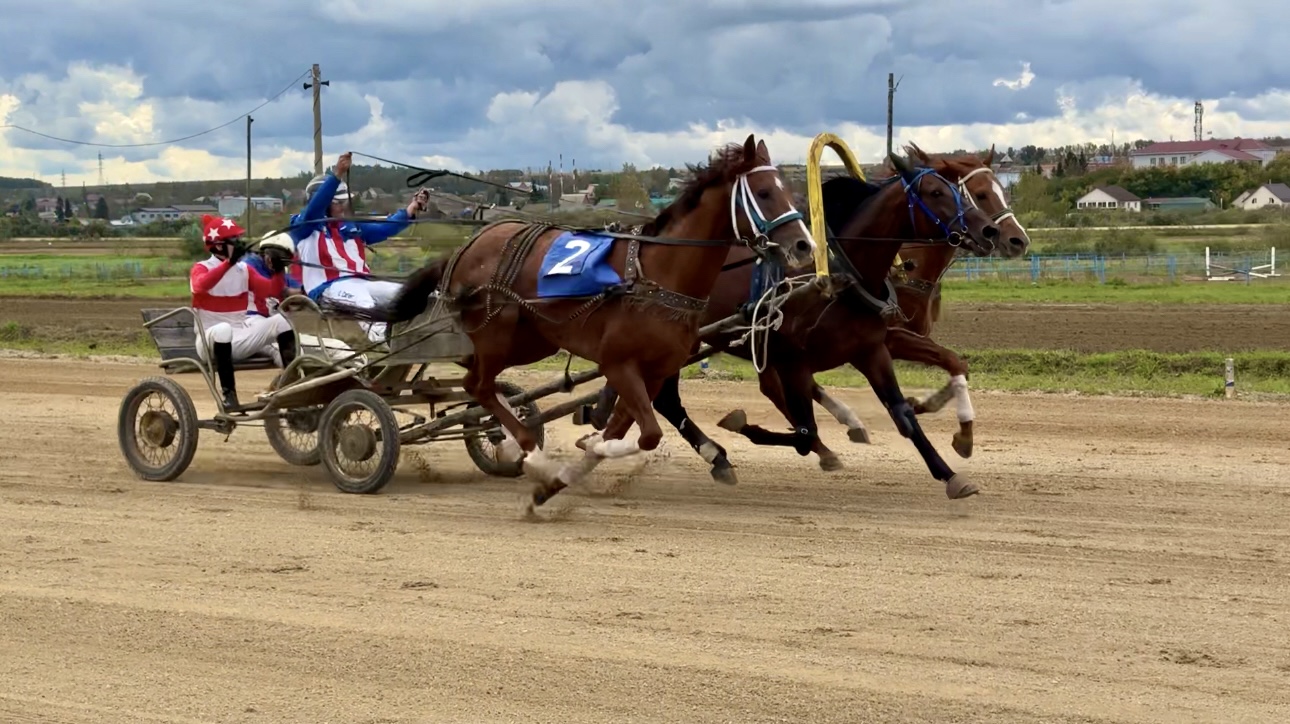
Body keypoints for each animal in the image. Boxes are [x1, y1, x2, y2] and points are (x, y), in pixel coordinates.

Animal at [384, 135, 817, 511]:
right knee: (478, 384)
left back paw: (502, 437)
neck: (655, 276)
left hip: (530, 340)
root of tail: (467, 246)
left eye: (790, 192)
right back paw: (523, 448)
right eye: (765, 192)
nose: (804, 246)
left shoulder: (655, 371)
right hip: (497, 331)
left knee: (477, 382)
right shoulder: (618, 363)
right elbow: (646, 434)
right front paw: (586, 446)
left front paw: (565, 474)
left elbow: (626, 429)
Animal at [575, 144, 1002, 500]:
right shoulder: (795, 359)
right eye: (936, 193)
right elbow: (803, 431)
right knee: (663, 397)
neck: (841, 276)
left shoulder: (871, 349)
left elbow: (905, 413)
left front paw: (951, 471)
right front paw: (745, 426)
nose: (992, 231)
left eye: (962, 191)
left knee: (657, 398)